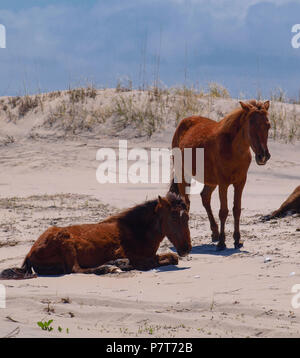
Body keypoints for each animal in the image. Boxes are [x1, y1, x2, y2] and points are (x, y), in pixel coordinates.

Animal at [0, 193, 191, 280]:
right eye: (174, 217)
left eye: (187, 217)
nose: (187, 248)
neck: (135, 231)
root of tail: (30, 252)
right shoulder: (138, 258)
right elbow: (148, 263)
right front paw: (121, 264)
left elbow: (172, 258)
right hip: (66, 244)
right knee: (76, 269)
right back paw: (109, 268)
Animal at [170, 99, 270, 250]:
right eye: (251, 125)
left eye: (268, 126)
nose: (263, 156)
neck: (233, 149)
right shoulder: (224, 183)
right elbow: (223, 211)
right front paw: (222, 242)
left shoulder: (240, 183)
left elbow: (236, 209)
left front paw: (237, 240)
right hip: (183, 175)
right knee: (186, 203)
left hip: (211, 181)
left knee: (205, 197)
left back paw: (215, 232)